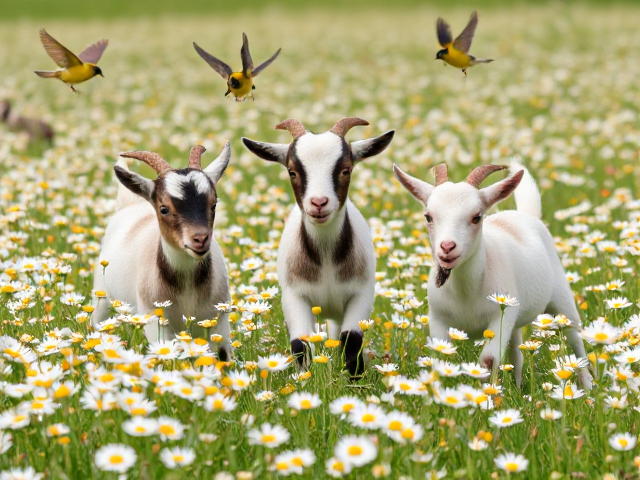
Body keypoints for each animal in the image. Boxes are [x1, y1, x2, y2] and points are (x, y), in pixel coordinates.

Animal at [92, 143, 232, 360]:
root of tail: (131, 203)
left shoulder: (220, 318)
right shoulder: (156, 321)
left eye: (214, 204)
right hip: (101, 296)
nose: (200, 239)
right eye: (164, 209)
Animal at [242, 118, 394, 377]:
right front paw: (304, 378)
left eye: (346, 170)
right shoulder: (294, 296)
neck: (326, 260)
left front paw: (355, 379)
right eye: (292, 171)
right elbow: (300, 344)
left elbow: (351, 339)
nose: (319, 203)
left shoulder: (361, 293)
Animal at [393, 161, 593, 388]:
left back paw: (587, 385)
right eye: (428, 217)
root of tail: (526, 215)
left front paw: (485, 394)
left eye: (476, 217)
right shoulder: (437, 317)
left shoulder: (499, 316)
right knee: (517, 352)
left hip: (560, 299)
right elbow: (440, 357)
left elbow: (488, 360)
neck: (465, 291)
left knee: (575, 338)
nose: (447, 247)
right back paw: (518, 387)